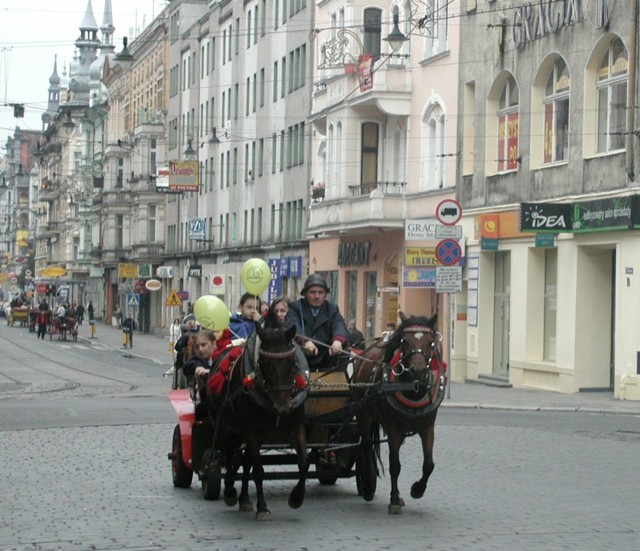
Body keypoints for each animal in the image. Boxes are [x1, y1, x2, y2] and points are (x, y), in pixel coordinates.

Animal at [208, 324, 310, 520]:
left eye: (291, 361)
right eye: (264, 363)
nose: (283, 408)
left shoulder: (297, 427)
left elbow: (303, 462)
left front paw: (297, 497)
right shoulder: (253, 432)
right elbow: (258, 470)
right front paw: (262, 508)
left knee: (244, 460)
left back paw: (244, 499)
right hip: (227, 428)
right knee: (228, 455)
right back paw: (230, 492)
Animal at [350, 312, 444, 516]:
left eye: (431, 342)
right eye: (405, 341)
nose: (418, 371)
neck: (412, 389)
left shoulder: (428, 427)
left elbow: (429, 464)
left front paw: (417, 489)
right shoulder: (393, 428)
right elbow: (394, 465)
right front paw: (393, 500)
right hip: (363, 414)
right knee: (366, 447)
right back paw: (367, 484)